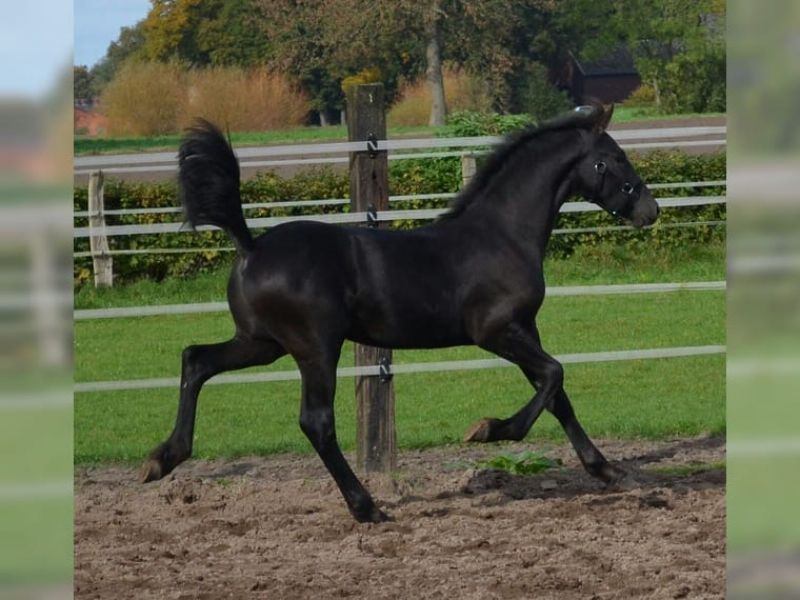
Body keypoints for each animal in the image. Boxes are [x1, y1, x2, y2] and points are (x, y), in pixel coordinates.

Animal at [141, 104, 659, 523]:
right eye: (614, 157)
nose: (650, 210)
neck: (502, 236)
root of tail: (250, 246)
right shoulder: (496, 331)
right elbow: (554, 375)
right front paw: (488, 430)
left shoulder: (524, 329)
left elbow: (556, 394)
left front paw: (606, 469)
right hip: (314, 347)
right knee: (316, 421)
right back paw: (367, 507)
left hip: (261, 343)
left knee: (196, 359)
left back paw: (162, 458)